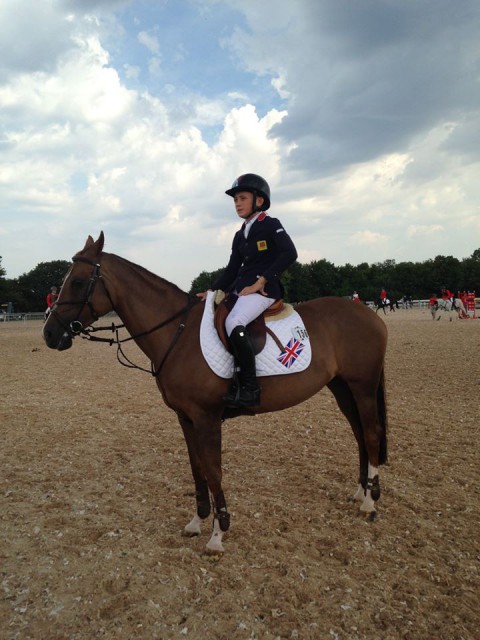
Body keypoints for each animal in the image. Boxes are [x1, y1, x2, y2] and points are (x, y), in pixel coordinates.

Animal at [43, 233, 388, 554]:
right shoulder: (185, 418)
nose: (49, 333)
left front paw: (218, 534)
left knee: (371, 434)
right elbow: (197, 468)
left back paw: (370, 503)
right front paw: (197, 521)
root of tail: (369, 315)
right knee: (359, 434)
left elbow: (213, 470)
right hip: (342, 388)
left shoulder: (206, 417)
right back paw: (361, 491)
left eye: (77, 281)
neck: (177, 333)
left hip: (362, 387)